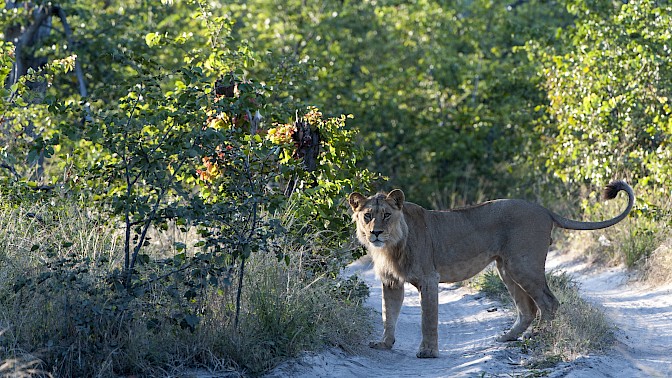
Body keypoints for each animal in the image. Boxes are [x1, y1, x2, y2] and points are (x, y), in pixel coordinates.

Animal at [350, 182, 632, 358]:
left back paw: (540, 337)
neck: (392, 245)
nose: (376, 232)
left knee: (549, 302)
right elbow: (388, 315)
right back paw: (507, 337)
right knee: (528, 309)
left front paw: (428, 351)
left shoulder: (429, 279)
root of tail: (543, 209)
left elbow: (427, 319)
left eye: (386, 215)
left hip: (523, 265)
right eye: (367, 215)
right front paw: (384, 344)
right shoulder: (391, 282)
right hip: (506, 268)